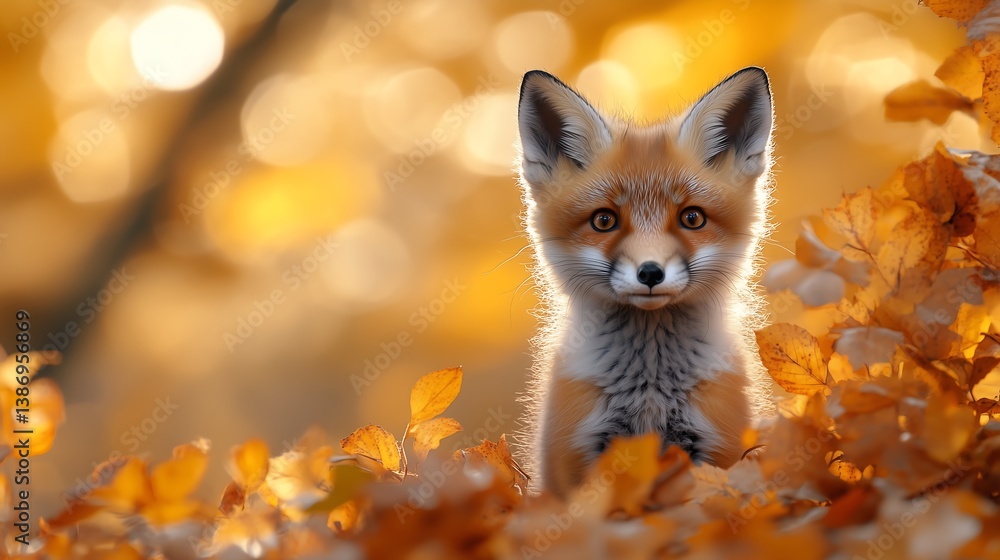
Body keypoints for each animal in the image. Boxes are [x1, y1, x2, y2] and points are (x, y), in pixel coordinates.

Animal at [515, 67, 775, 498]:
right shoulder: (574, 458)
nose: (650, 273)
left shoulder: (719, 446)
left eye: (692, 218)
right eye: (604, 220)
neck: (649, 389)